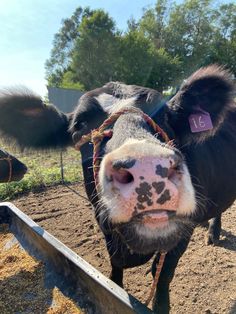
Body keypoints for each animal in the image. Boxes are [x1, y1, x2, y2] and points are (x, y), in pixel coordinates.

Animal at [0, 65, 235, 312]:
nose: (147, 167)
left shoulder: (182, 231)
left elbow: (162, 274)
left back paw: (213, 232)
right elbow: (115, 272)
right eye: (80, 125)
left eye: (165, 116)